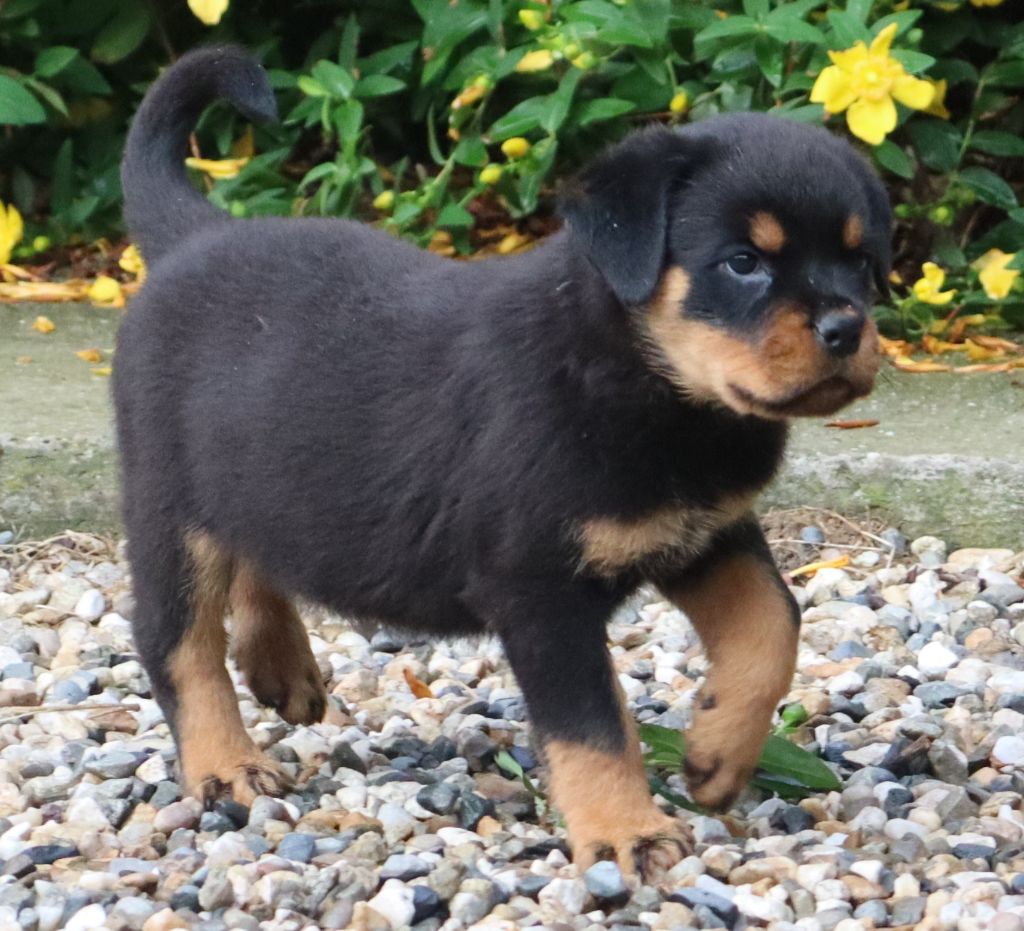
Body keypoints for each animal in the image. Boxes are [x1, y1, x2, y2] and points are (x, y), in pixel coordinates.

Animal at [115, 46, 889, 877]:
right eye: (744, 262)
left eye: (861, 260)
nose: (846, 327)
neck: (653, 386)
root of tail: (191, 238)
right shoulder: (538, 589)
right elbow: (592, 724)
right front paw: (627, 833)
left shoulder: (702, 531)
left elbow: (774, 622)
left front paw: (715, 755)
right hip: (167, 504)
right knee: (175, 638)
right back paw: (227, 765)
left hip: (259, 473)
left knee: (259, 547)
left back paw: (280, 664)